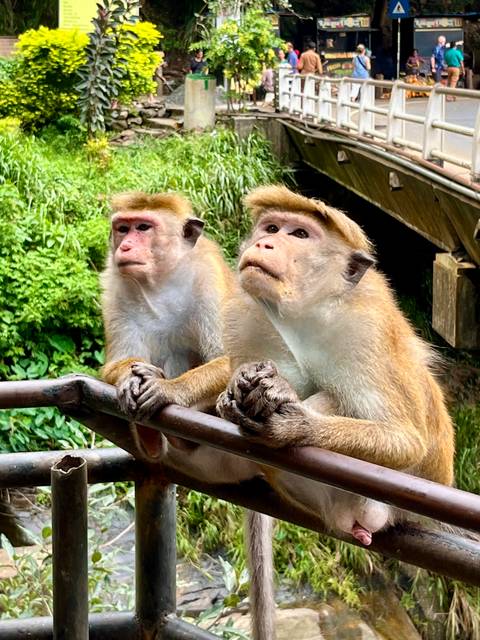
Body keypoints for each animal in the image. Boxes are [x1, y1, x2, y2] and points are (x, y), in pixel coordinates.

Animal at [100, 190, 258, 484]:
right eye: (122, 228)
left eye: (143, 227)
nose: (124, 247)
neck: (161, 280)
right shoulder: (115, 286)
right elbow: (117, 363)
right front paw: (129, 378)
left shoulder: (208, 275)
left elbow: (232, 359)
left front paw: (168, 389)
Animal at [133, 184, 454, 640]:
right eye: (271, 228)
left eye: (300, 234)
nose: (266, 243)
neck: (305, 314)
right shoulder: (246, 312)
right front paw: (225, 394)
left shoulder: (367, 332)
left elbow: (406, 440)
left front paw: (289, 422)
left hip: (375, 505)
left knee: (333, 399)